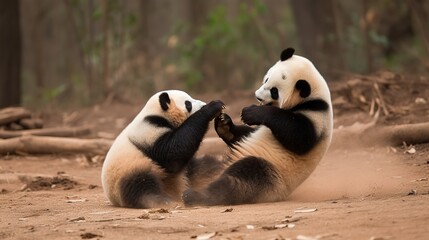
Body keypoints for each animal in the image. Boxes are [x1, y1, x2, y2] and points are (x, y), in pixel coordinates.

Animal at [182, 47, 332, 205]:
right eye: (267, 78)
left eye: (274, 91)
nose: (257, 96)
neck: (313, 99)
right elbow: (243, 134)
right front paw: (224, 123)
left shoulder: (316, 117)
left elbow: (298, 138)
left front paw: (252, 113)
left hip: (270, 174)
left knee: (240, 179)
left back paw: (196, 195)